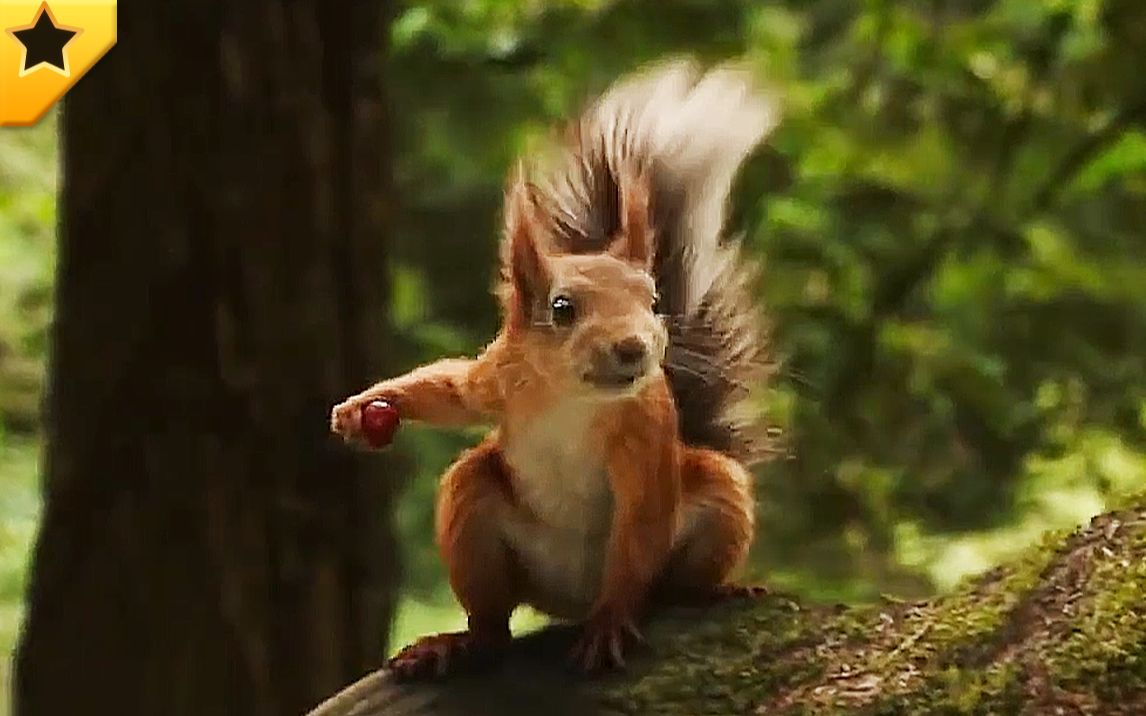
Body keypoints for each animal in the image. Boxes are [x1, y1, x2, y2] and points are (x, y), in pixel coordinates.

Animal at [332, 58, 779, 678]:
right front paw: (365, 407)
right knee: (492, 620)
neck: (574, 398)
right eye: (561, 309)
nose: (634, 349)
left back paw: (711, 592)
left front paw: (612, 623)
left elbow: (640, 521)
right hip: (475, 509)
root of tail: (571, 601)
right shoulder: (501, 376)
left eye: (654, 302)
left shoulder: (644, 436)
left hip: (715, 499)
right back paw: (455, 641)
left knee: (662, 584)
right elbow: (453, 390)